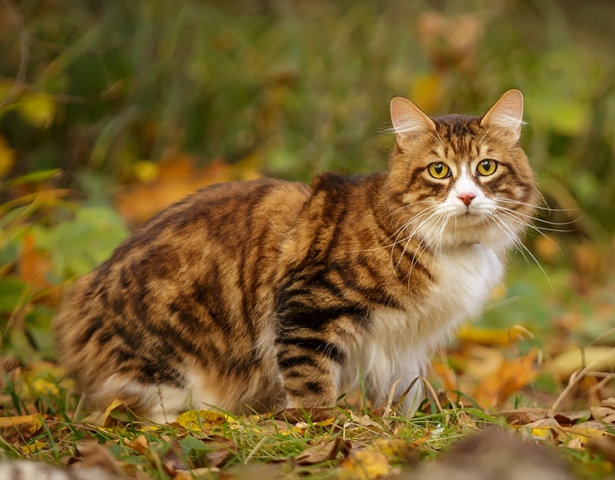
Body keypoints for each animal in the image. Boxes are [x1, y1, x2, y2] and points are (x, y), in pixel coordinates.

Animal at [56, 88, 540, 422]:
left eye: (485, 167)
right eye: (439, 170)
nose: (466, 197)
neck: (450, 247)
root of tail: (80, 298)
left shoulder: (406, 343)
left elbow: (405, 391)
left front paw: (403, 424)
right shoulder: (308, 304)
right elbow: (310, 380)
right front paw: (321, 424)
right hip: (173, 368)